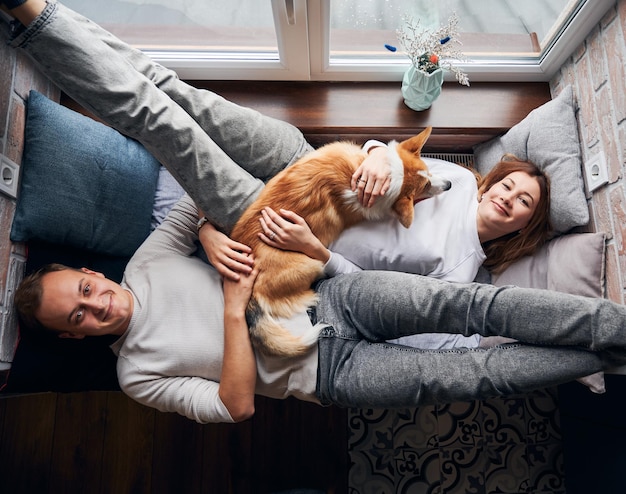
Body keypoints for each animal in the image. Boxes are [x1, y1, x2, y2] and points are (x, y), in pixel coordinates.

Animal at [229, 127, 448, 356]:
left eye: (428, 172)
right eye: (425, 187)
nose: (449, 185)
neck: (357, 178)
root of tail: (251, 295)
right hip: (312, 264)